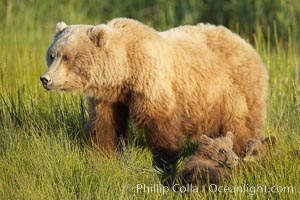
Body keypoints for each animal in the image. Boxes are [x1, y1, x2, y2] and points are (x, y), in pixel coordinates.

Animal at [39, 17, 268, 172]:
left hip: (235, 90)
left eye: (67, 57)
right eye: (52, 55)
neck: (124, 71)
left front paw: (164, 163)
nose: (45, 79)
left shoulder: (151, 82)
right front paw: (102, 156)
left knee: (242, 127)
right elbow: (105, 125)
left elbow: (161, 126)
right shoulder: (111, 97)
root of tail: (248, 45)